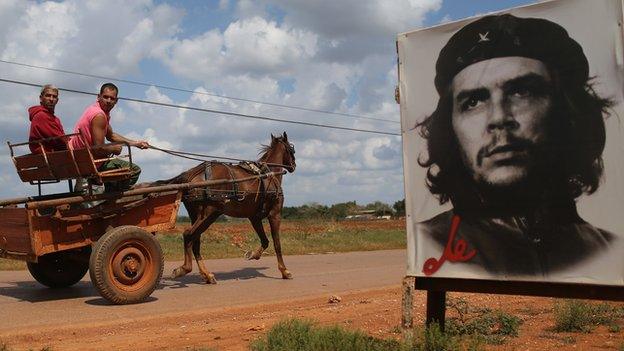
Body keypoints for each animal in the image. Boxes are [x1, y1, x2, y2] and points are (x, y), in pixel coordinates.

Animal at [143, 132, 296, 284]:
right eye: (292, 149)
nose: (294, 166)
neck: (269, 174)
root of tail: (192, 174)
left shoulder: (254, 217)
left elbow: (265, 241)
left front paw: (253, 255)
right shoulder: (275, 214)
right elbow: (277, 243)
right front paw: (284, 271)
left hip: (198, 215)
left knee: (195, 241)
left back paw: (206, 274)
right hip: (209, 213)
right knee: (188, 235)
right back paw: (184, 269)